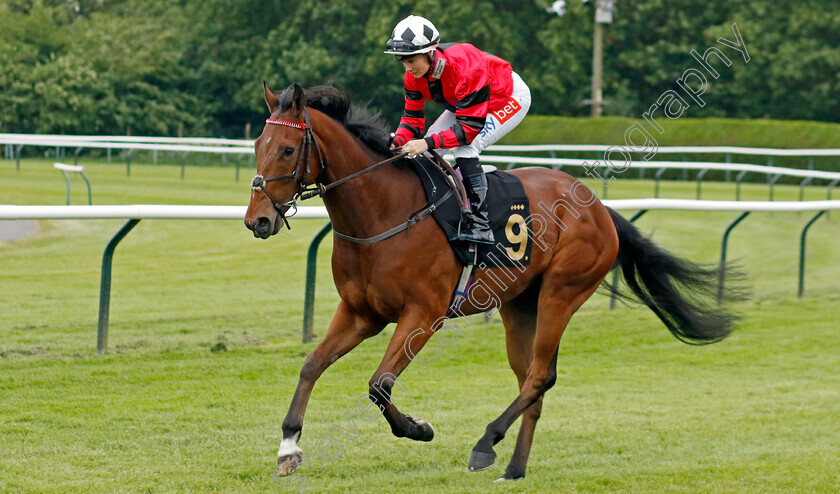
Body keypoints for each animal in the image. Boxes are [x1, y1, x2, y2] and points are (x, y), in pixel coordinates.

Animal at [244, 84, 740, 482]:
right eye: (257, 143)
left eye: (288, 149)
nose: (258, 220)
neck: (382, 213)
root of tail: (599, 207)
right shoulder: (360, 312)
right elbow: (312, 365)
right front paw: (288, 449)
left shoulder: (423, 315)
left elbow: (379, 384)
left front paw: (419, 428)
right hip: (518, 304)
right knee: (530, 384)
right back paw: (514, 468)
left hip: (562, 291)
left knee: (540, 376)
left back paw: (486, 443)